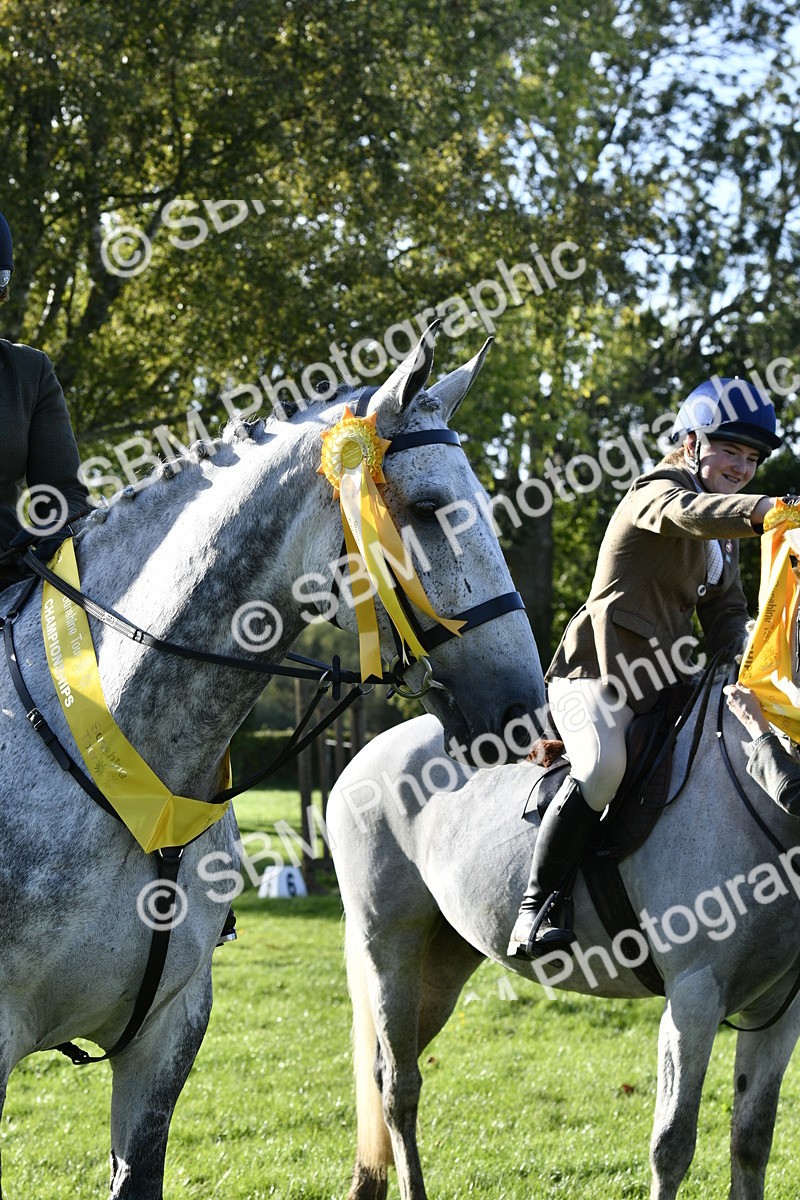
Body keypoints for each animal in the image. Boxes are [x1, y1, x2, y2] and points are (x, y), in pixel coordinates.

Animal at [328, 667, 800, 1200]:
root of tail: (366, 754)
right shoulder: (694, 1000)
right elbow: (673, 1144)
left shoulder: (778, 1010)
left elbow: (752, 1139)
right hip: (391, 950)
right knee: (398, 1087)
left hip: (443, 963)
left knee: (384, 1069)